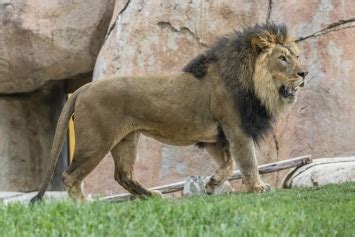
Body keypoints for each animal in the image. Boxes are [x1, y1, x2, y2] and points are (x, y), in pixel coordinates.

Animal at [30, 23, 308, 203]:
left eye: (296, 55)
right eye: (283, 58)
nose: (304, 73)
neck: (254, 83)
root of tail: (82, 88)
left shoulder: (215, 138)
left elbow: (229, 165)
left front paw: (212, 184)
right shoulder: (236, 129)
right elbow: (249, 161)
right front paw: (258, 188)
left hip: (126, 140)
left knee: (123, 174)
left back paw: (151, 195)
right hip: (96, 141)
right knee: (70, 176)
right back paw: (84, 205)